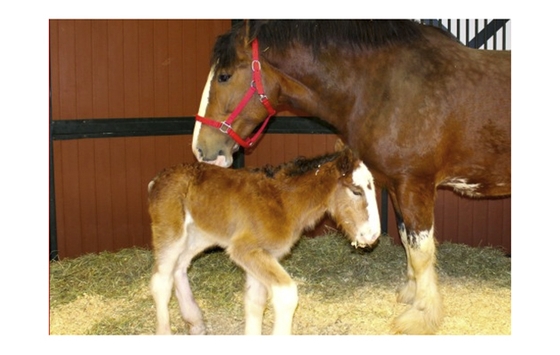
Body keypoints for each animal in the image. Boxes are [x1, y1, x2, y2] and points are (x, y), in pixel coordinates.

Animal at [190, 20, 510, 336]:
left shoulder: (414, 184)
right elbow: (407, 241)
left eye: (224, 76)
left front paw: (421, 316)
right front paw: (411, 294)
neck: (387, 87)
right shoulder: (398, 186)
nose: (201, 149)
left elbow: (420, 250)